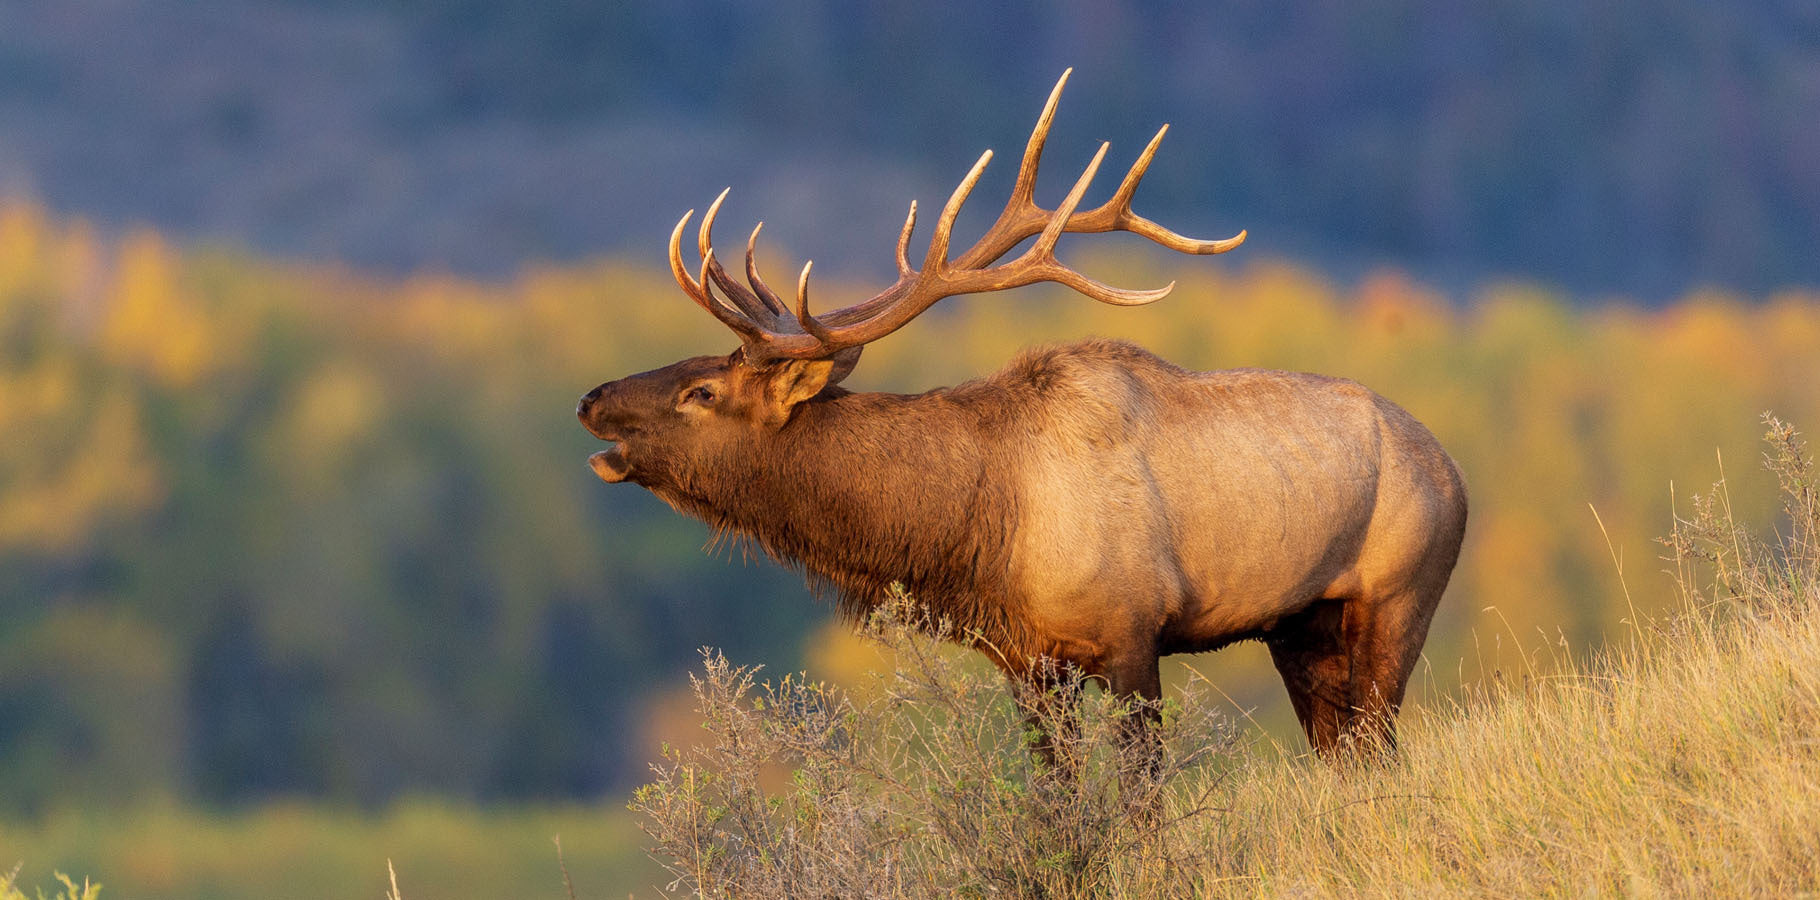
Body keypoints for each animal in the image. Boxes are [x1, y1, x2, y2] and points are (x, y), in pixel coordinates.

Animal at [578, 71, 1467, 759]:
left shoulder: (1131, 632)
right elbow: (1052, 796)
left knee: (1380, 746)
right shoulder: (1028, 662)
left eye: (701, 393)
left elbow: (1140, 791)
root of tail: (1455, 471)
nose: (590, 399)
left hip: (1399, 596)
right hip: (1300, 626)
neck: (978, 528)